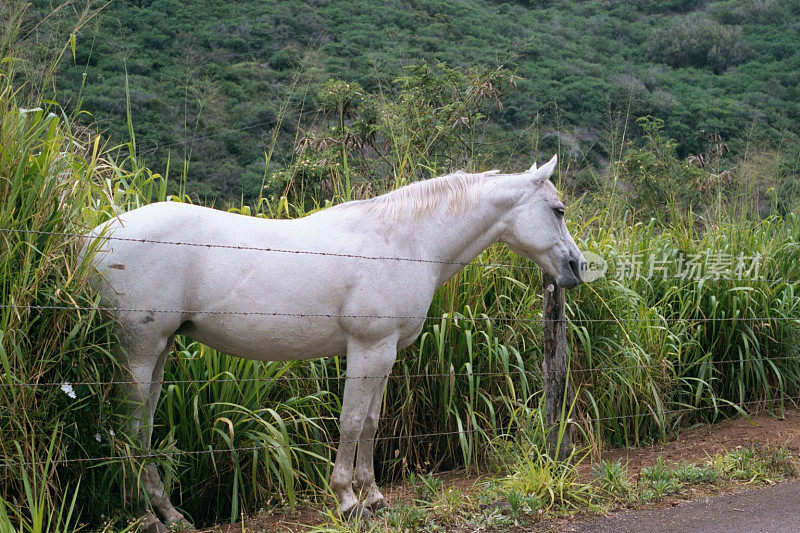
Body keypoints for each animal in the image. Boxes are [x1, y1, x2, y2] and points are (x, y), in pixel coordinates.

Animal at [87, 155, 584, 528]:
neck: (402, 243)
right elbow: (349, 422)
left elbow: (371, 423)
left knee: (142, 428)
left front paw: (375, 495)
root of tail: (94, 238)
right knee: (128, 429)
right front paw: (348, 500)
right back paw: (144, 517)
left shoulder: (386, 353)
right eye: (558, 210)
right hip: (139, 350)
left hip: (160, 349)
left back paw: (169, 514)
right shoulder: (368, 348)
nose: (577, 267)